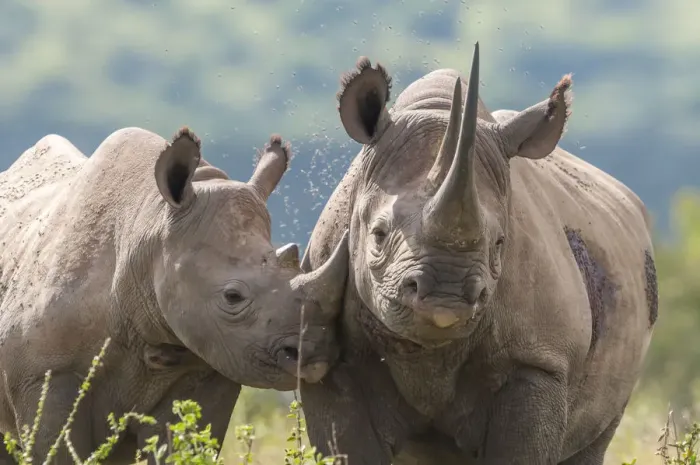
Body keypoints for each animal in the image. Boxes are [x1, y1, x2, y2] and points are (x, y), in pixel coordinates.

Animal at [0, 127, 348, 464]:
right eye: (232, 297)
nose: (314, 351)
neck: (148, 225)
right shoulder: (45, 376)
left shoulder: (207, 368)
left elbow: (184, 444)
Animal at [299, 43, 658, 465]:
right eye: (379, 235)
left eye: (500, 243)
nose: (447, 295)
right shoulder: (329, 359)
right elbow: (345, 445)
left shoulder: (539, 359)